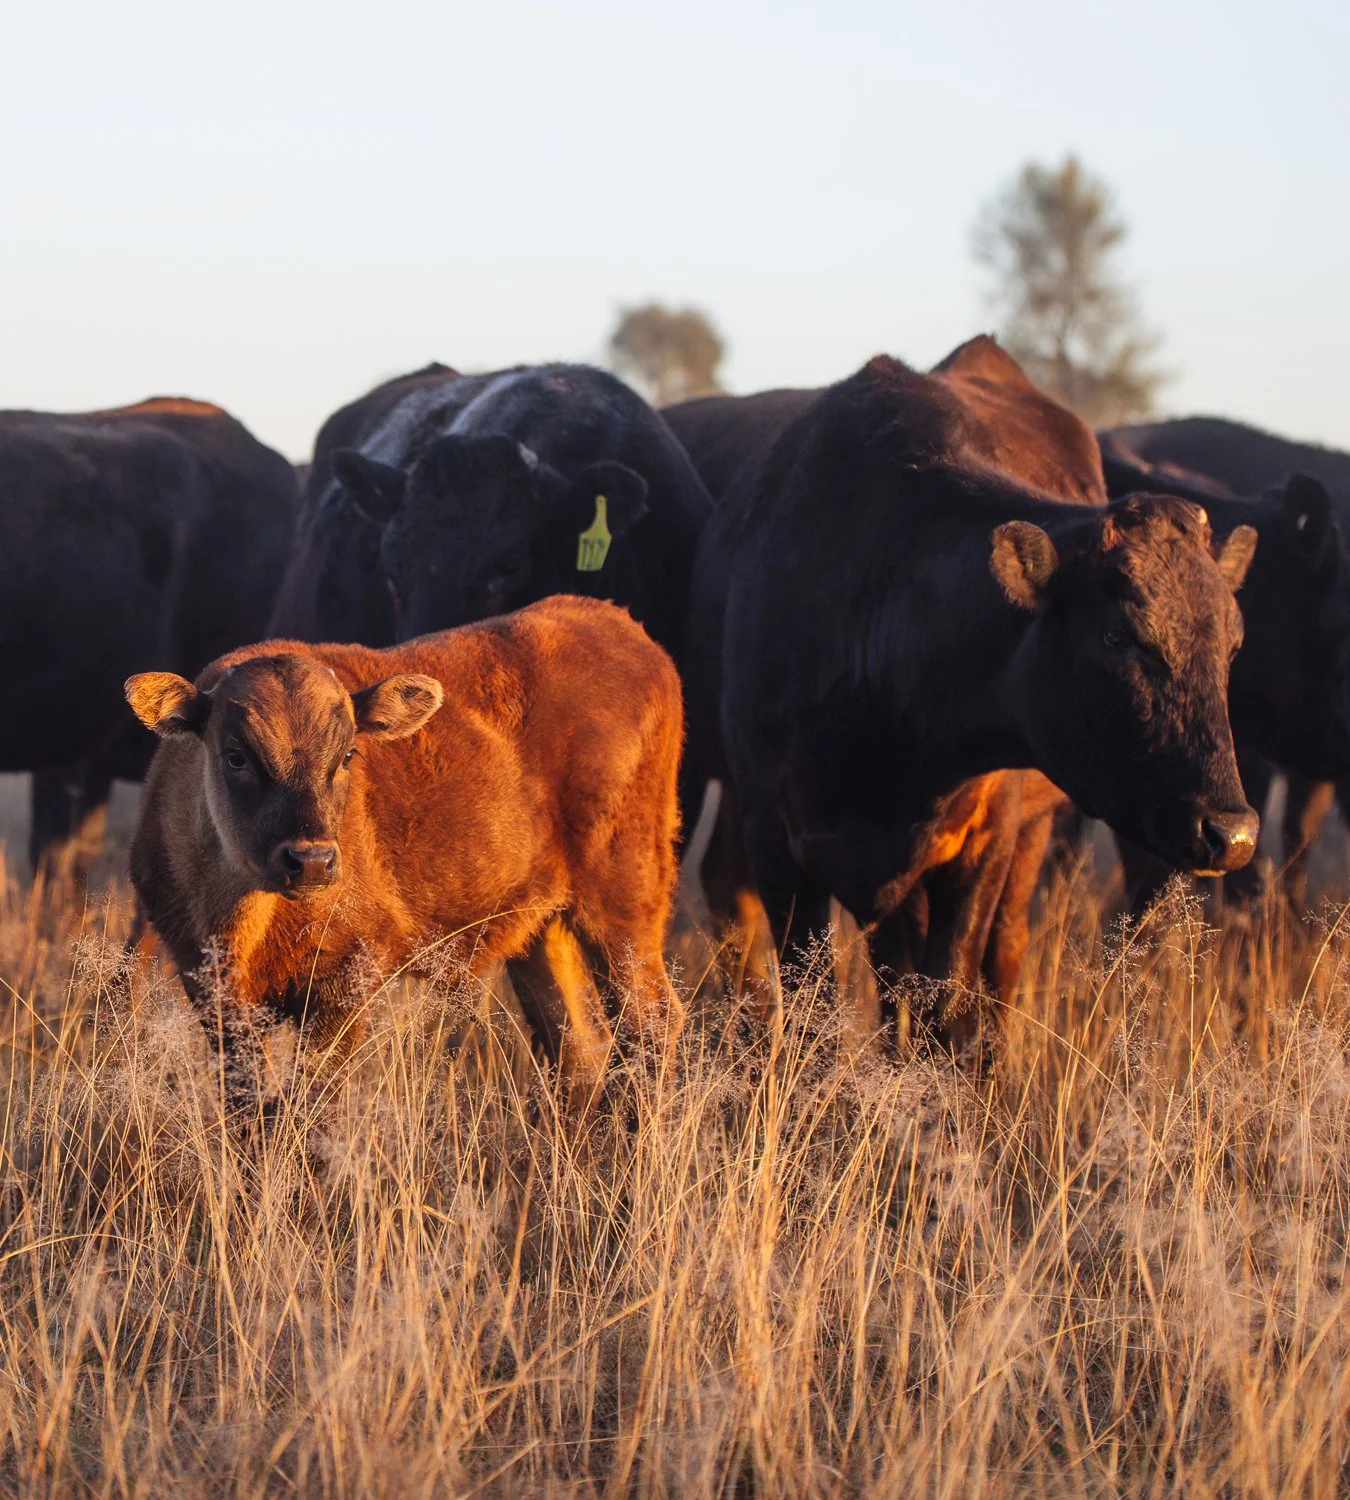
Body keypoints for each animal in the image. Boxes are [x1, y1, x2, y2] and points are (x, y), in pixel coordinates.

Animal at [125, 595, 684, 1107]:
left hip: (623, 910)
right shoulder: (213, 994)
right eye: (236, 756)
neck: (245, 914)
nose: (311, 860)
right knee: (579, 1047)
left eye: (348, 754)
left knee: (651, 1023)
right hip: (543, 927)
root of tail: (626, 631)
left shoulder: (345, 983)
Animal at [667, 351, 1258, 1048]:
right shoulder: (774, 833)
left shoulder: (983, 841)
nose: (1231, 832)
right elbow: (818, 1013)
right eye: (1118, 635)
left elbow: (944, 1004)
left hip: (1025, 841)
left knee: (998, 957)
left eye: (1233, 641)